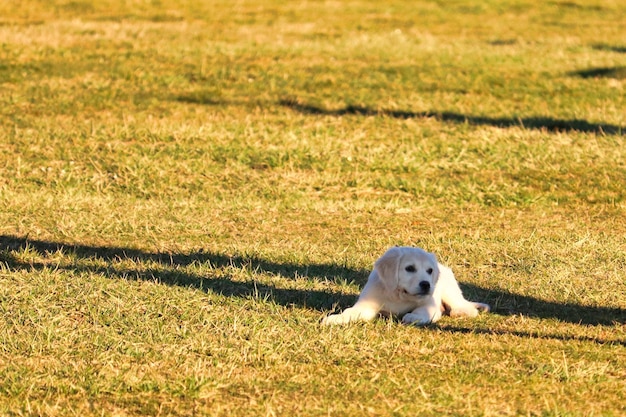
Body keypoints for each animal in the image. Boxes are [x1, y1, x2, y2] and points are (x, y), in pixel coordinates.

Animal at [322, 245, 488, 324]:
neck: (399, 295)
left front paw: (412, 317)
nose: (426, 285)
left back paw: (461, 311)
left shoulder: (430, 305)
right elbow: (350, 312)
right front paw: (336, 319)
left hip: (449, 290)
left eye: (429, 270)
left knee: (463, 305)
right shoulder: (366, 305)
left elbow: (422, 312)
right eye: (410, 268)